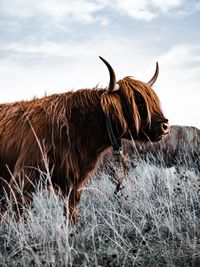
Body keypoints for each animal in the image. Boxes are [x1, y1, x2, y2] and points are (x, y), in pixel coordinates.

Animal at [0, 57, 169, 223]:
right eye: (138, 103)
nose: (165, 126)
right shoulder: (25, 175)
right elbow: (20, 210)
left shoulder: (74, 180)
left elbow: (71, 210)